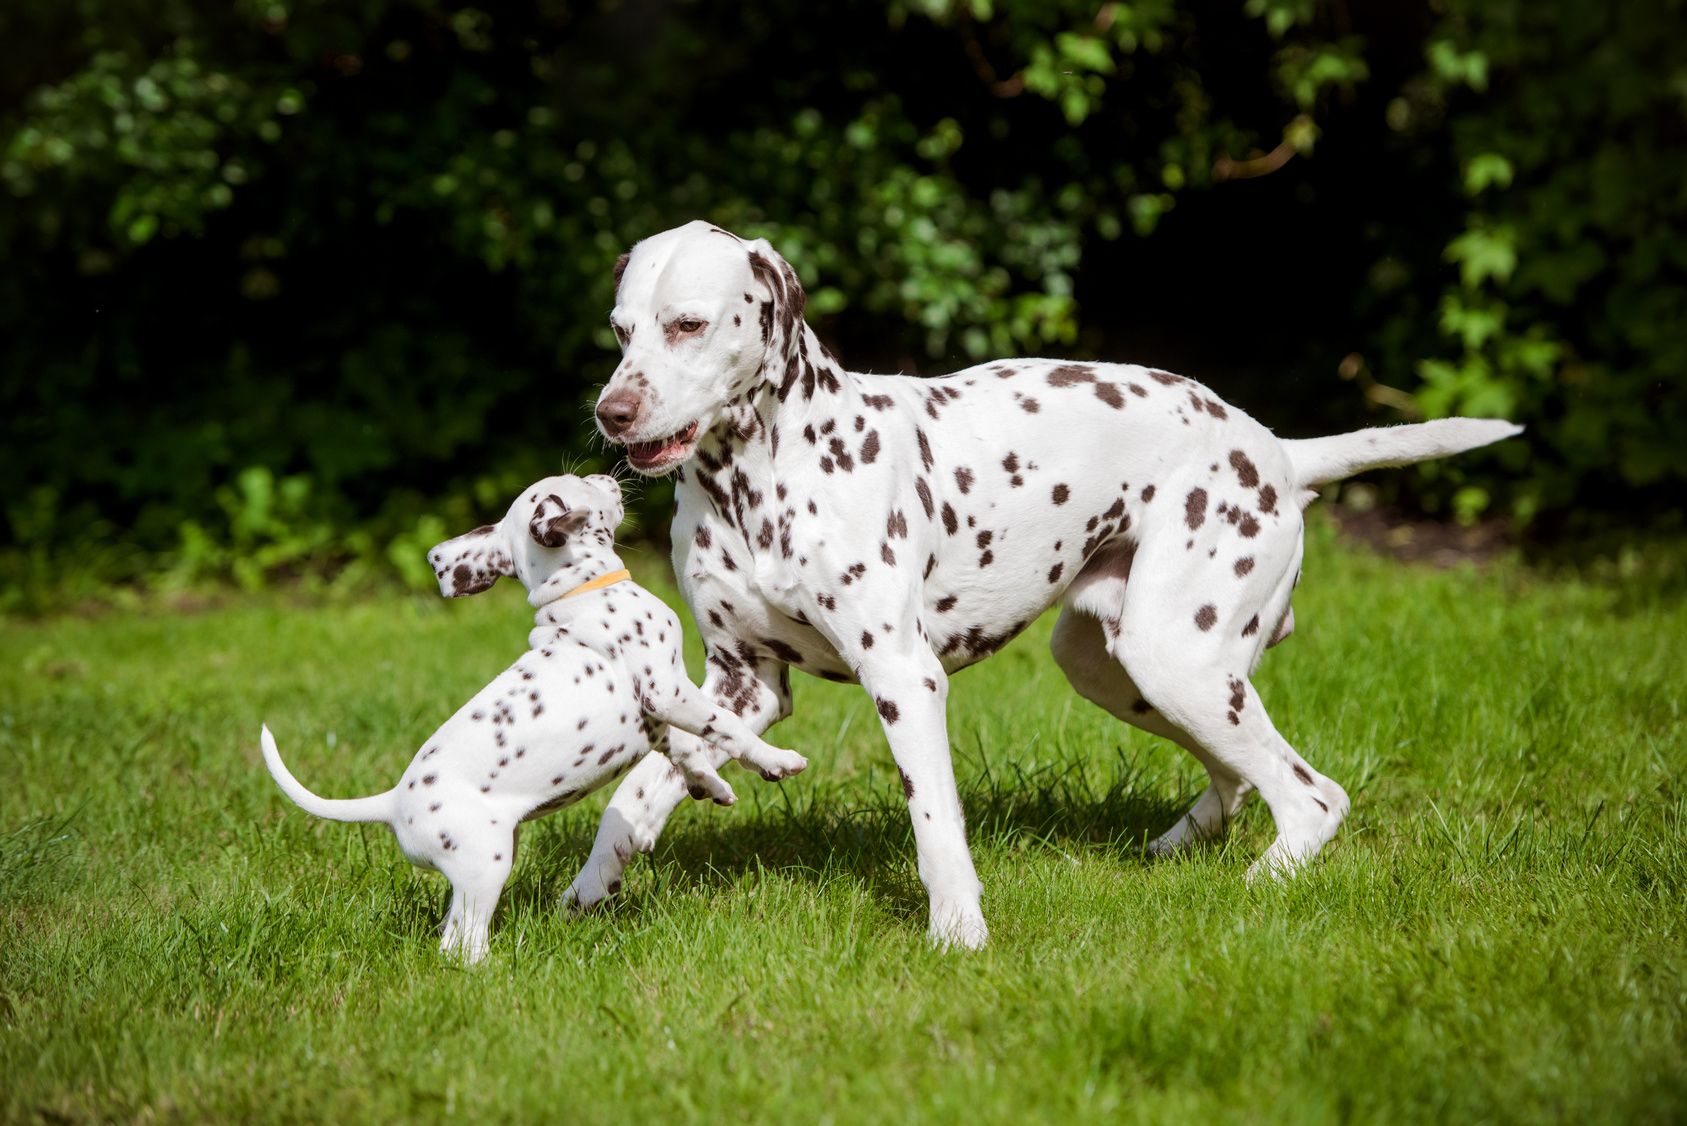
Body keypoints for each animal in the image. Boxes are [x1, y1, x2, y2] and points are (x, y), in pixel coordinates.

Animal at [263, 472, 809, 965]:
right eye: (579, 480)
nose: (608, 475)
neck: (584, 590)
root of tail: (393, 802)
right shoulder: (668, 691)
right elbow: (725, 726)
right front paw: (777, 760)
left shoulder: (659, 718)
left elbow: (690, 748)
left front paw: (711, 786)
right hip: (485, 865)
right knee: (459, 944)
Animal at [560, 219, 1525, 952]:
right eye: (620, 330)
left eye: (688, 324)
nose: (611, 411)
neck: (758, 481)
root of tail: (1276, 450)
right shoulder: (742, 685)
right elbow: (638, 790)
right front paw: (594, 880)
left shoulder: (902, 679)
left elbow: (933, 823)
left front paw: (957, 931)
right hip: (1121, 668)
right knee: (1241, 777)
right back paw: (1180, 849)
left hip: (1175, 661)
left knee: (1311, 797)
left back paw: (1262, 889)